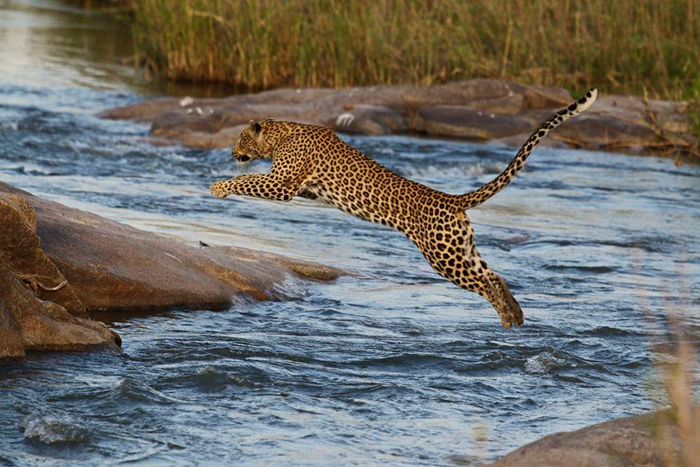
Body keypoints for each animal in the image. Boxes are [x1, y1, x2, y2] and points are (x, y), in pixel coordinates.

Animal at [210, 89, 598, 328]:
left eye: (240, 138)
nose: (231, 152)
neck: (282, 132)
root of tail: (451, 199)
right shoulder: (303, 189)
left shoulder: (283, 184)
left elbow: (249, 180)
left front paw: (219, 187)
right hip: (461, 248)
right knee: (495, 275)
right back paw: (514, 316)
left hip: (443, 256)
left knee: (485, 282)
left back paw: (507, 316)